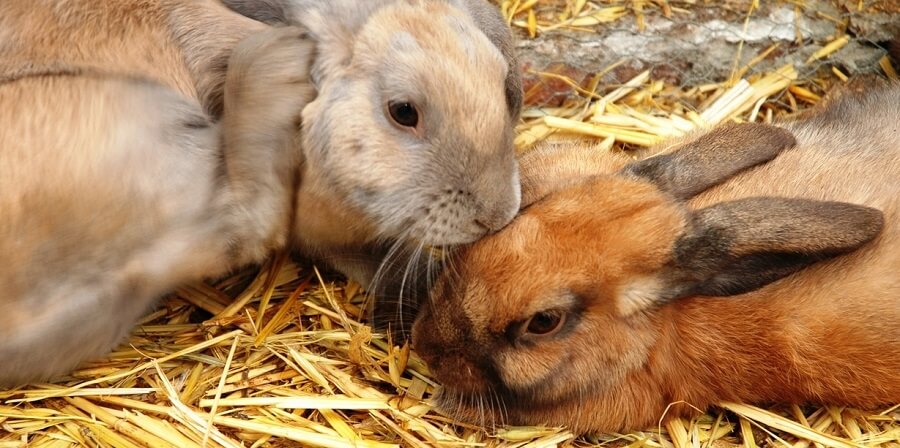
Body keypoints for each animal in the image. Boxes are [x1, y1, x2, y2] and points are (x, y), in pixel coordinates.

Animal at [0, 0, 520, 384]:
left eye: (501, 82)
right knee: (237, 225)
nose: (497, 214)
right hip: (136, 123)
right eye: (403, 111)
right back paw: (271, 61)